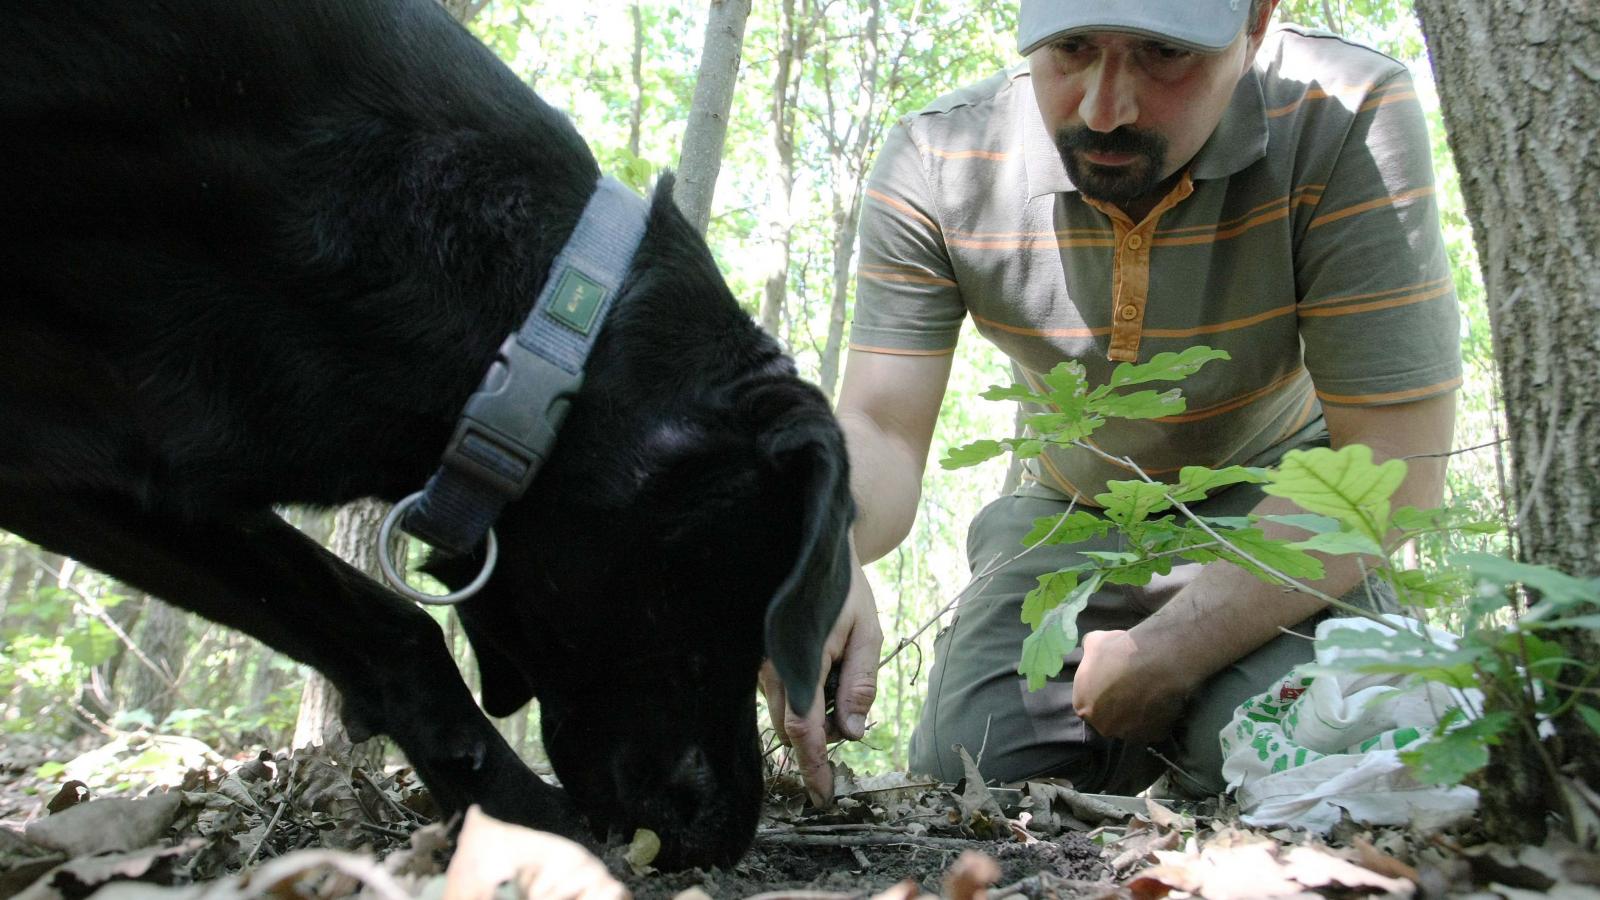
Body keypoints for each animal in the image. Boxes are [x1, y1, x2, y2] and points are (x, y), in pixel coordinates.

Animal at [3, 0, 851, 871]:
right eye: (743, 600)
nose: (731, 832)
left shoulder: (111, 458)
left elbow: (374, 621)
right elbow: (394, 623)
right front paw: (527, 814)